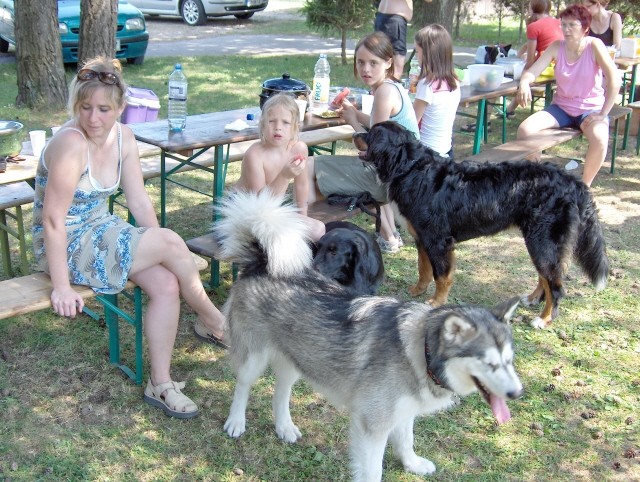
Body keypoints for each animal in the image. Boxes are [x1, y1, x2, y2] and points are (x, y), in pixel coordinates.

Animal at [212, 190, 524, 480]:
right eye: (489, 363)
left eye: (509, 361)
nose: (518, 393)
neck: (420, 350)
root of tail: (263, 260)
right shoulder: (372, 426)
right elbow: (373, 470)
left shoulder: (402, 412)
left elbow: (406, 441)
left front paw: (412, 464)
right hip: (253, 358)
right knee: (243, 386)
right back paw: (236, 421)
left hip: (298, 357)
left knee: (281, 391)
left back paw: (284, 427)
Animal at [356, 122, 608, 330]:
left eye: (373, 134)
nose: (355, 134)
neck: (411, 168)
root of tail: (572, 181)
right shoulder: (422, 237)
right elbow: (424, 269)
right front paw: (418, 290)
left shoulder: (438, 241)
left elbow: (441, 276)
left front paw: (436, 301)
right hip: (538, 241)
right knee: (545, 277)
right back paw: (532, 299)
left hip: (543, 240)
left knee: (555, 284)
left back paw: (544, 319)